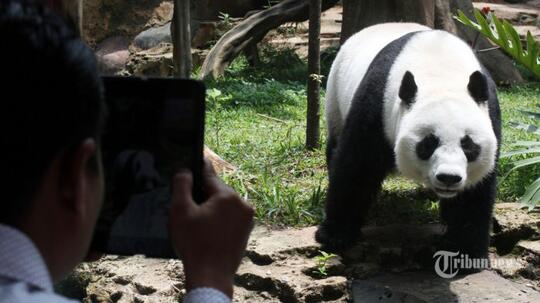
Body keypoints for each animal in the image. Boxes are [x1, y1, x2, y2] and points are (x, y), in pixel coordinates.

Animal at [316, 23, 502, 262]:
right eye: (428, 143)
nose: (448, 178)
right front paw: (335, 235)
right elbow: (357, 166)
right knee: (336, 143)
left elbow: (473, 194)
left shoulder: (491, 114)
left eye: (468, 145)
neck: (442, 74)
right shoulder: (377, 105)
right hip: (335, 96)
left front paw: (466, 251)